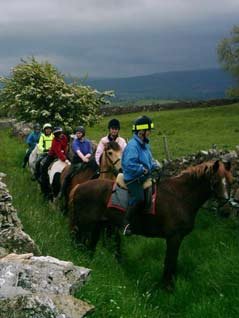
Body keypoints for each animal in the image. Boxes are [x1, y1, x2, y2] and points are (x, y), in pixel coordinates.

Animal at [68, 159, 232, 288]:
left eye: (230, 183)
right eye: (215, 183)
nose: (226, 211)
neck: (180, 196)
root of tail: (79, 187)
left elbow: (171, 263)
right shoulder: (174, 238)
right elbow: (170, 263)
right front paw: (167, 288)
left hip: (97, 225)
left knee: (90, 248)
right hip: (84, 225)